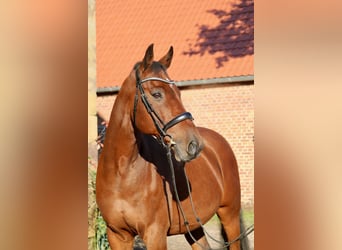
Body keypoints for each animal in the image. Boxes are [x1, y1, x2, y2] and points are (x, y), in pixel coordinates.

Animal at [95, 44, 246, 249]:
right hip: (193, 225)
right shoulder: (117, 235)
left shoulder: (155, 234)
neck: (121, 173)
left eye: (179, 93)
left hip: (229, 215)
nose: (194, 144)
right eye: (157, 94)